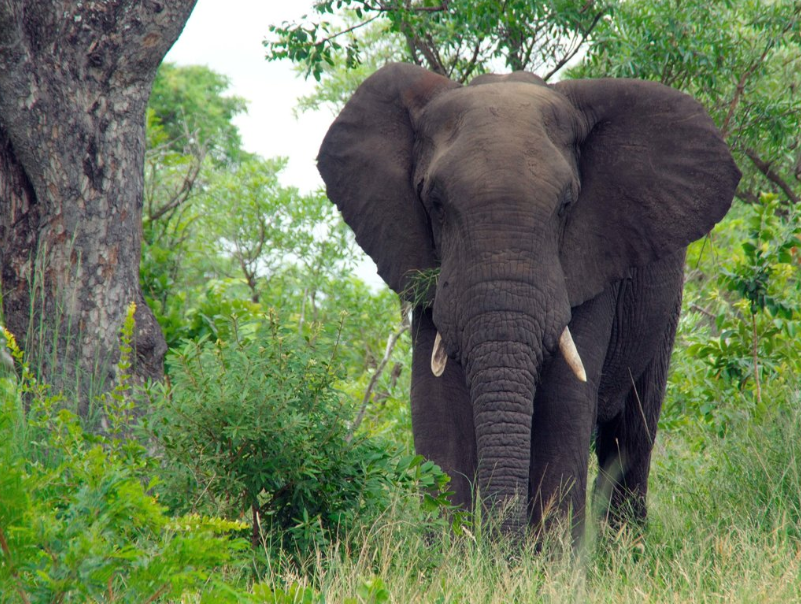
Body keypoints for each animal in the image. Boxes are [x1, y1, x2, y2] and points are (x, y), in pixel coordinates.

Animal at [317, 63, 741, 538]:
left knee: (632, 430)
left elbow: (563, 404)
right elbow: (437, 407)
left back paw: (624, 546)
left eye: (567, 204)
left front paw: (553, 558)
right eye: (435, 203)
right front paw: (452, 554)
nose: (500, 546)